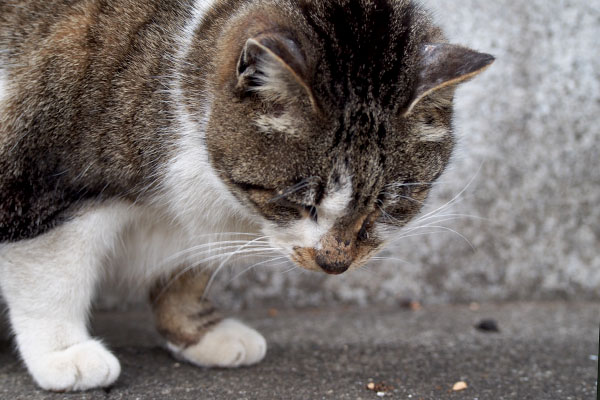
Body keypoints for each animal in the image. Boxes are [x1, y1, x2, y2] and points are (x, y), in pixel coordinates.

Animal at [0, 0, 492, 392]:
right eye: (299, 200)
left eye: (387, 206)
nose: (334, 263)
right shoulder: (41, 182)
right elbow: (51, 275)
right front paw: (63, 352)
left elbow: (187, 270)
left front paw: (198, 332)